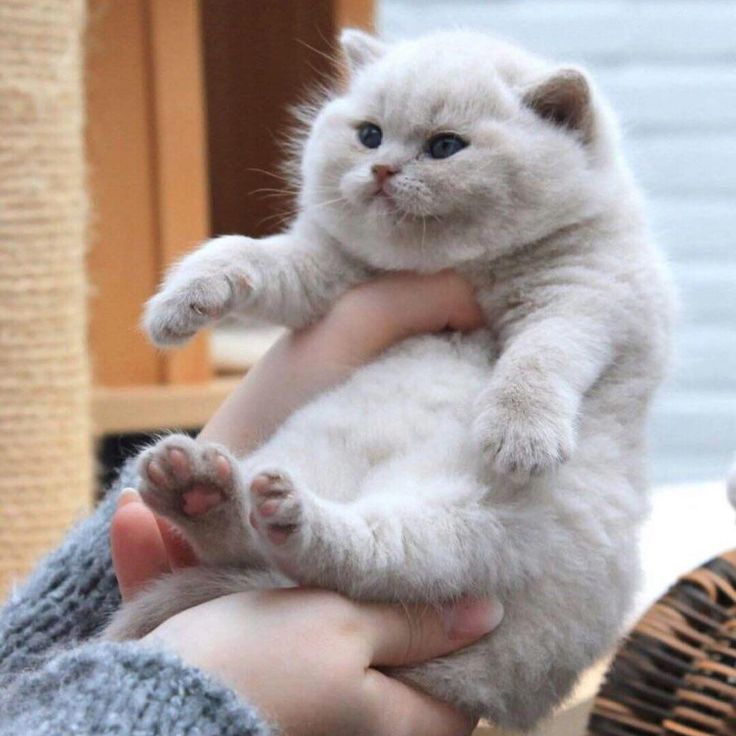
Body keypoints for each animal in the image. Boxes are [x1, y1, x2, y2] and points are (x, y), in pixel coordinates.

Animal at [106, 30, 676, 732]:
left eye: (445, 146)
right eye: (370, 135)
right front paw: (179, 304)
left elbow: (539, 358)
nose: (381, 171)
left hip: (467, 530)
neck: (455, 265)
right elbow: (251, 256)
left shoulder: (590, 299)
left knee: (361, 560)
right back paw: (196, 487)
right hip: (308, 457)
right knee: (253, 546)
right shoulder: (327, 274)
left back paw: (265, 509)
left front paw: (517, 434)